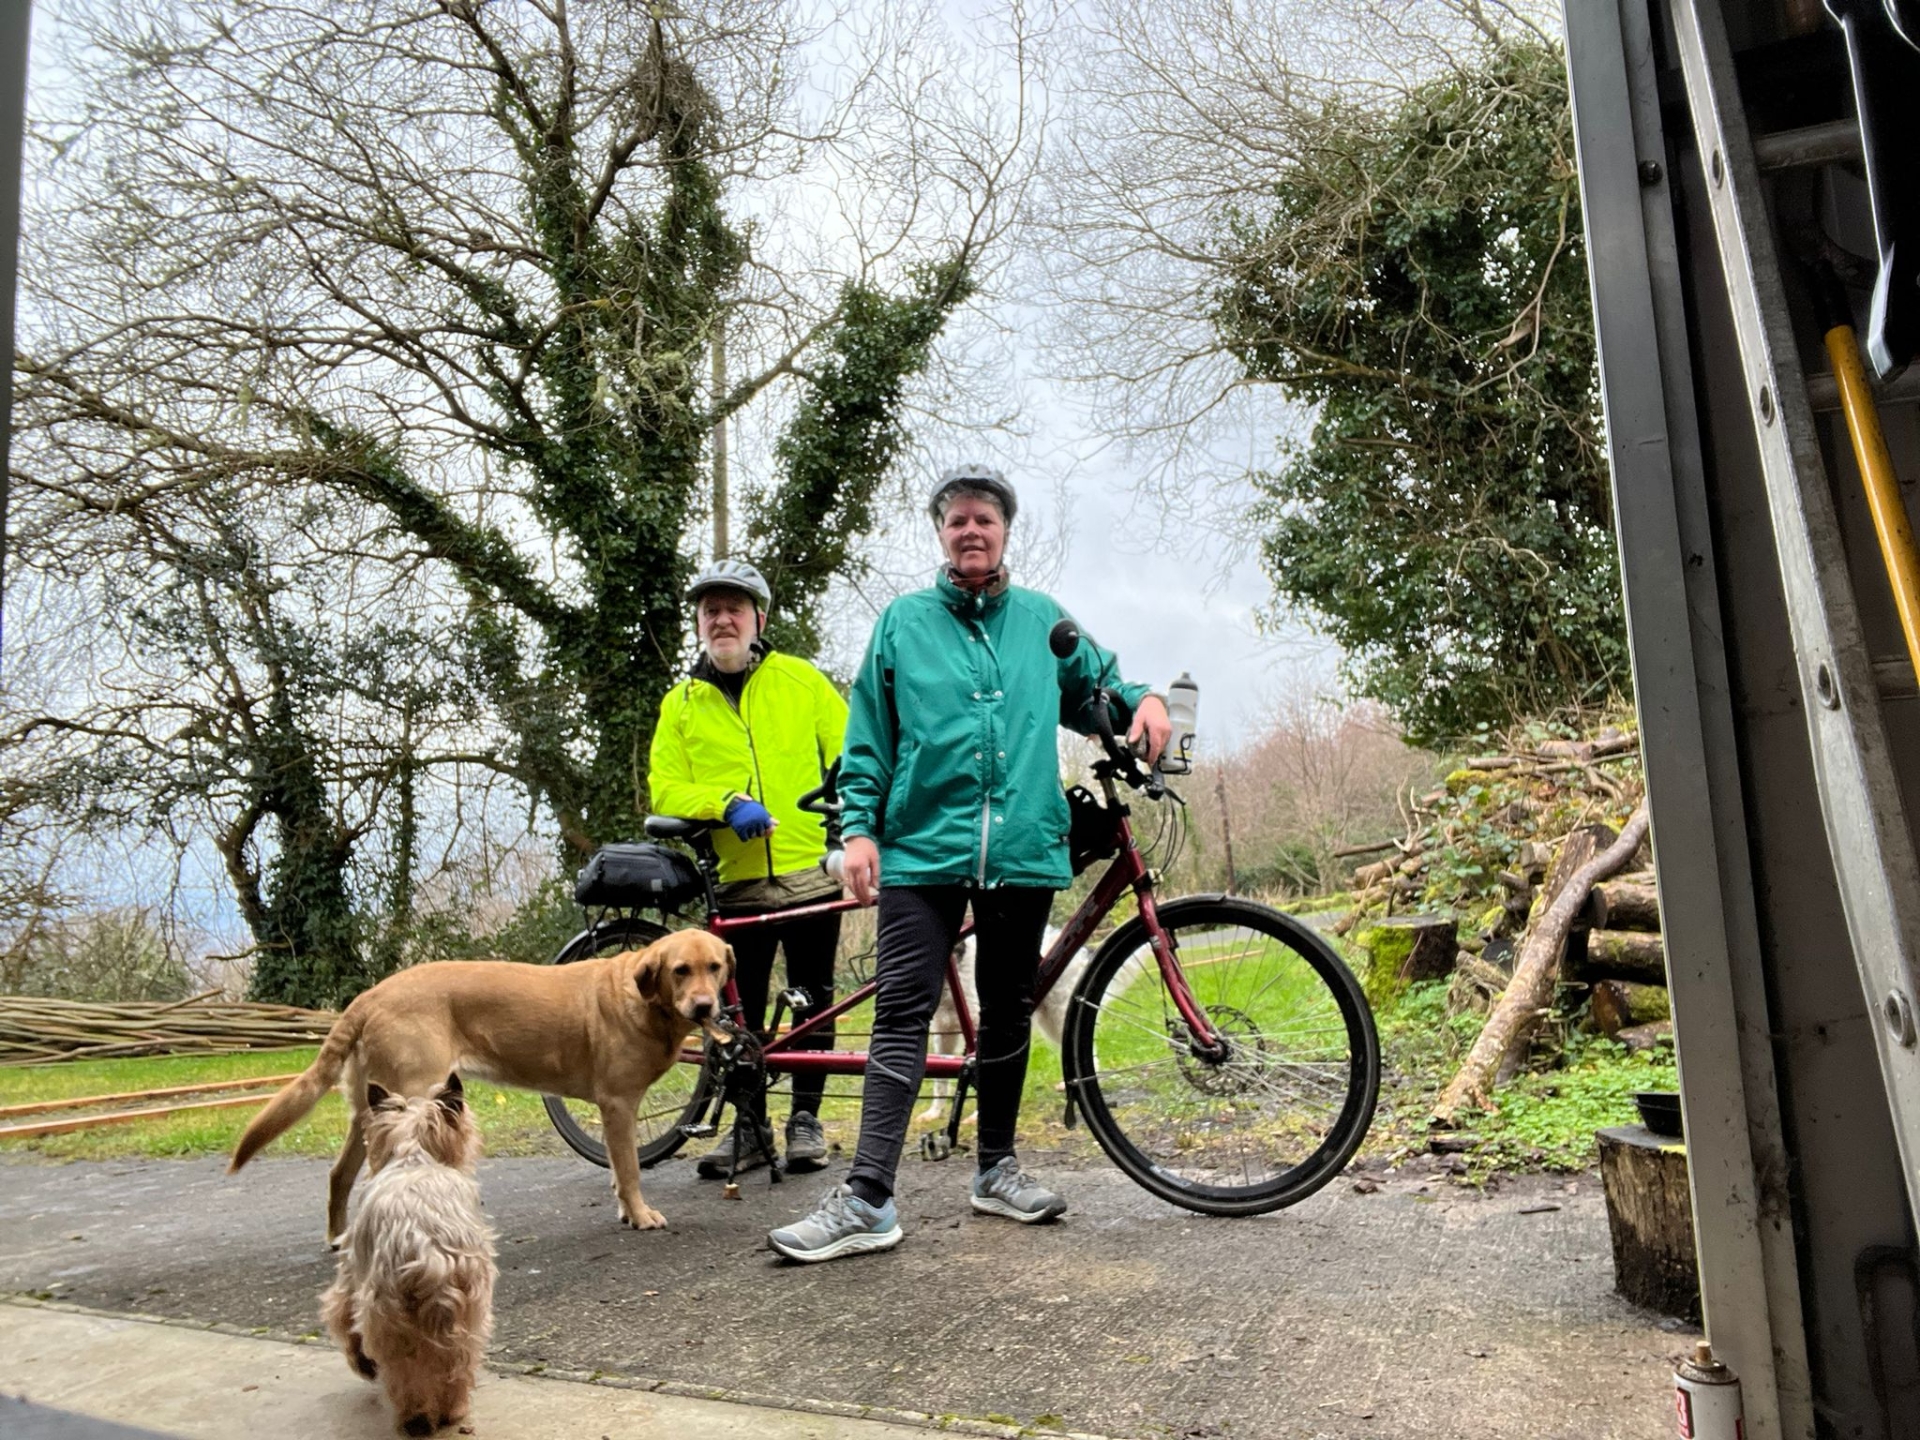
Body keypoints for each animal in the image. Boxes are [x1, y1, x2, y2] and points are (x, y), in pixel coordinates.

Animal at [231, 930, 732, 1242]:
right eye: (680, 970)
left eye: (714, 967)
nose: (706, 1007)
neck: (645, 1003)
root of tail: (369, 996)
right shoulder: (618, 1105)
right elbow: (628, 1170)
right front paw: (641, 1216)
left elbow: (617, 1170)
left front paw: (628, 1213)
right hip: (414, 1096)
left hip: (369, 1105)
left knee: (340, 1175)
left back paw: (339, 1238)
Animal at [321, 1075, 494, 1437]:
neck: (414, 1154)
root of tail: (428, 1255)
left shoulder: (352, 1274)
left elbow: (343, 1316)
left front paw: (362, 1363)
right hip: (469, 1312)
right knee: (457, 1364)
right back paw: (450, 1411)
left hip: (385, 1315)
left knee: (403, 1372)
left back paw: (415, 1419)